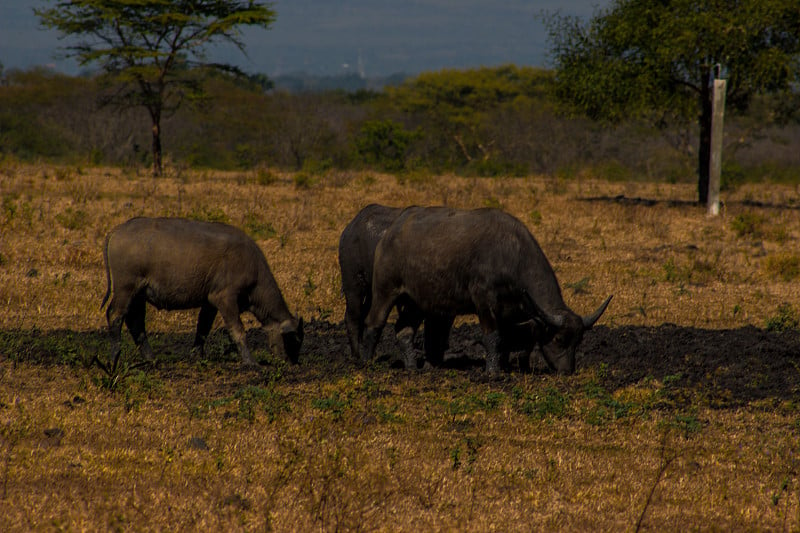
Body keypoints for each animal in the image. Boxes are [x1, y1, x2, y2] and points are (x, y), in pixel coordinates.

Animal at [100, 216, 300, 366]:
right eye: (293, 339)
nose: (293, 363)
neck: (250, 264)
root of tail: (118, 230)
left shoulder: (210, 302)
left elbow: (203, 328)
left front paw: (197, 355)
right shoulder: (225, 298)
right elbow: (238, 330)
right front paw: (250, 361)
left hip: (138, 295)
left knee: (135, 322)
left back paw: (150, 358)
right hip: (126, 289)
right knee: (115, 315)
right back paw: (115, 355)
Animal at [362, 206, 612, 372]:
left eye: (578, 341)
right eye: (560, 339)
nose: (567, 370)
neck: (511, 256)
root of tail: (391, 233)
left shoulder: (512, 312)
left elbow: (509, 339)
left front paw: (505, 367)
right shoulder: (484, 301)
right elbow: (492, 336)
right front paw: (493, 372)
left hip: (417, 301)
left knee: (403, 330)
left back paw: (412, 368)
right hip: (385, 291)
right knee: (374, 323)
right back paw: (365, 362)